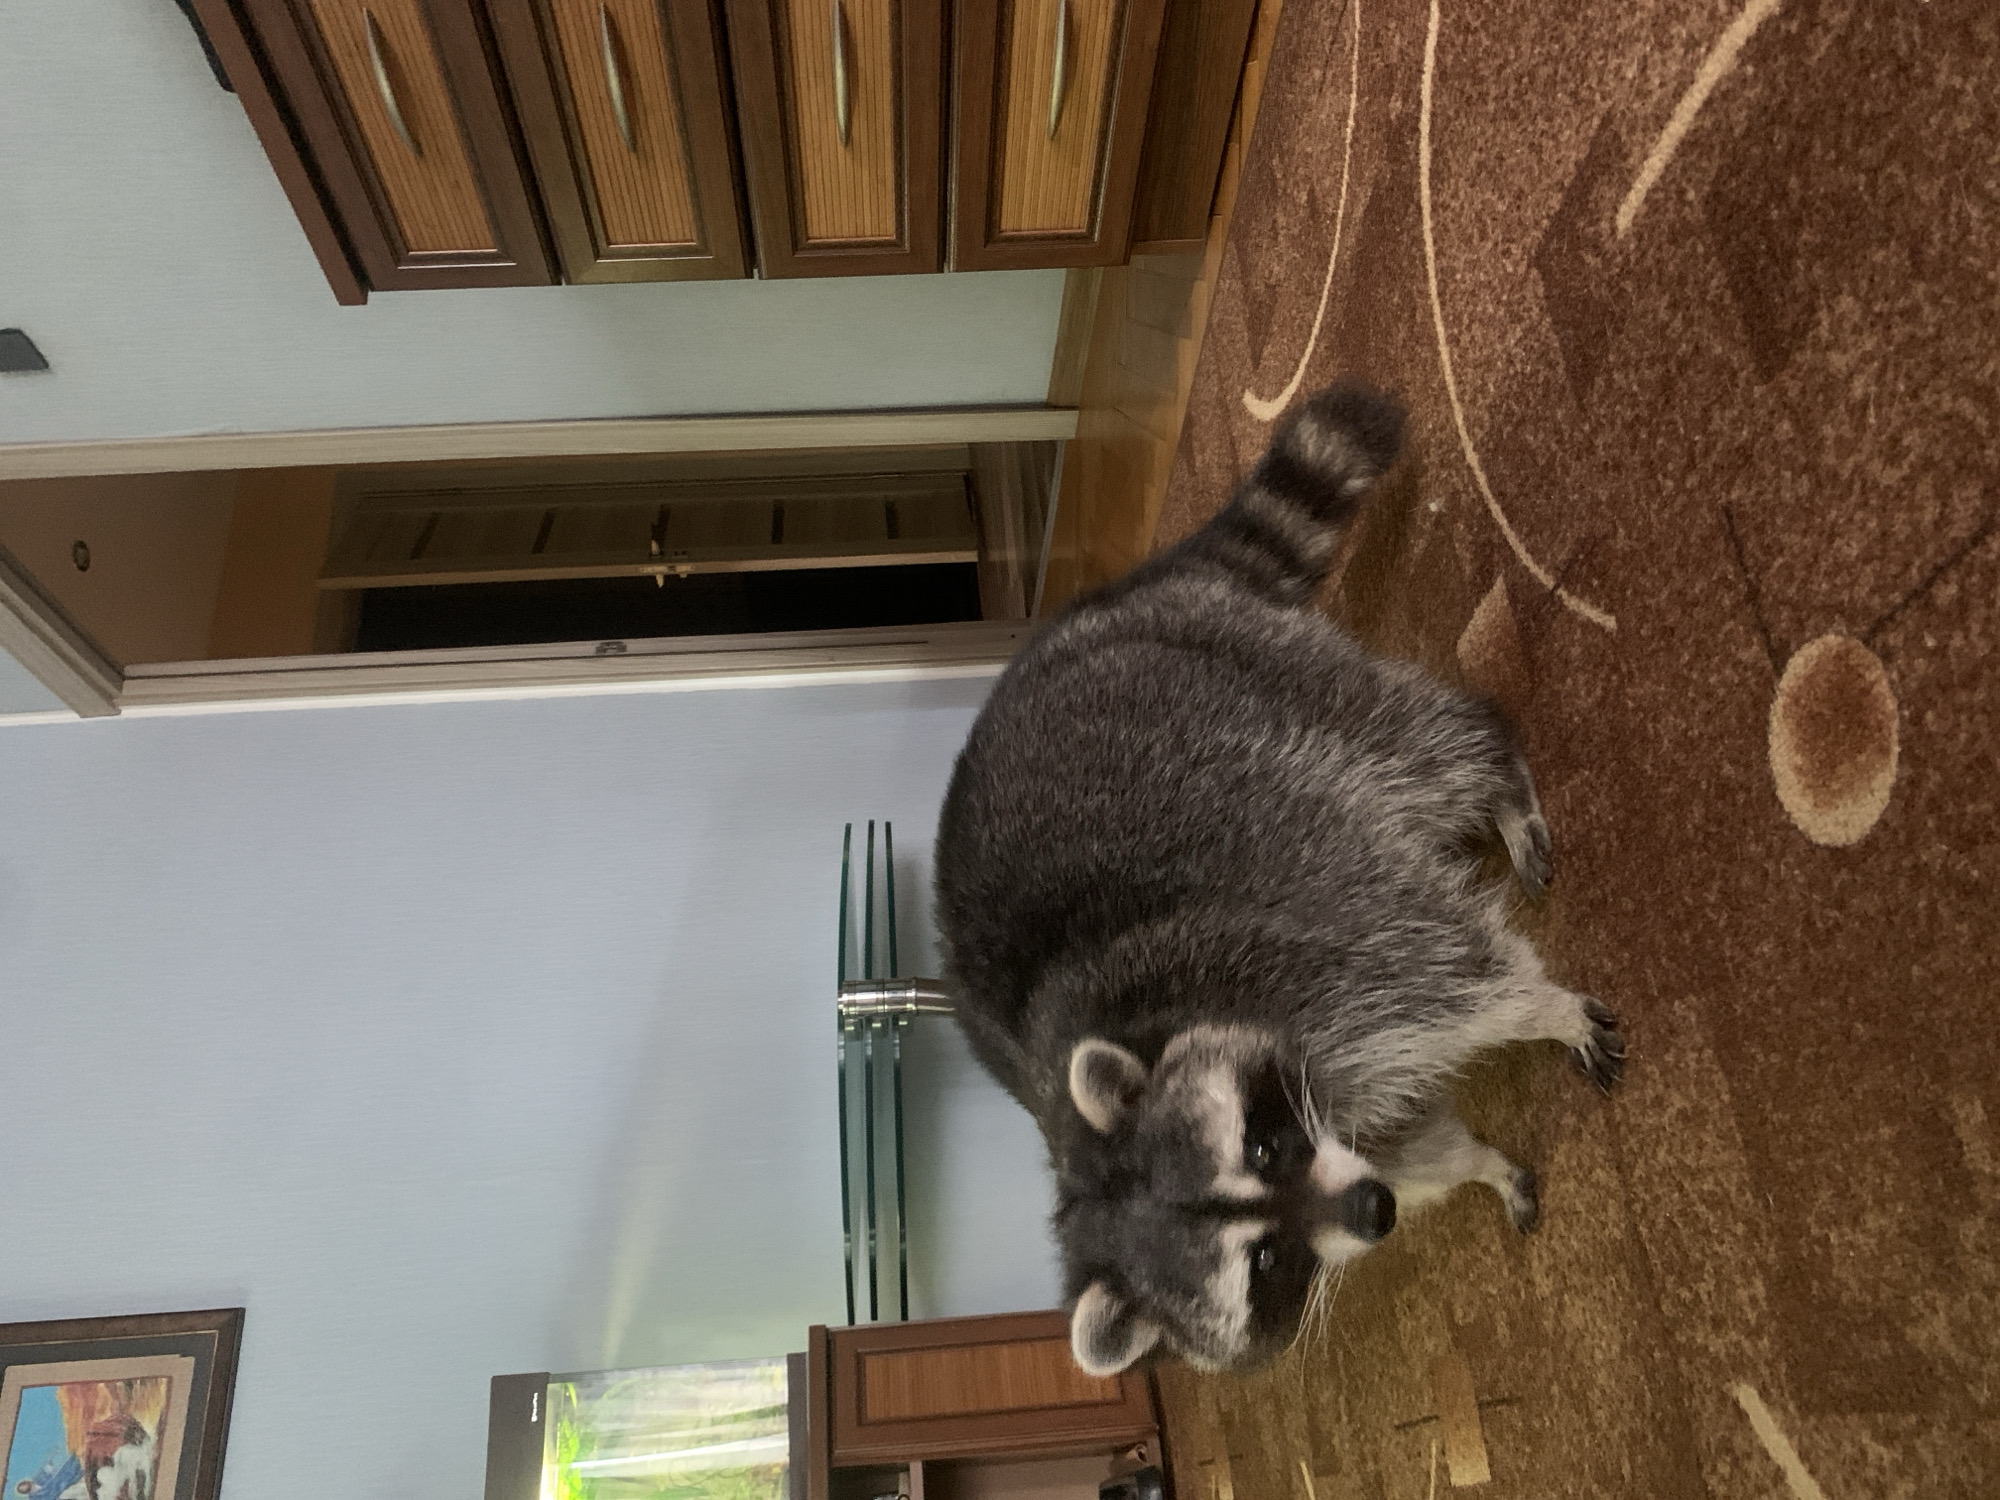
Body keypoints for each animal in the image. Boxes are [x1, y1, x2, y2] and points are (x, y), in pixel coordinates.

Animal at [933, 382, 1625, 1376]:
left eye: (1260, 1149)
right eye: (1264, 1266)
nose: (1370, 1212)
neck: (1151, 1033)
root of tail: (1109, 605)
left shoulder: (1298, 945)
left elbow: (1451, 967)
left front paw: (1542, 1010)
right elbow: (1409, 1143)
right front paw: (1471, 1167)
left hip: (1245, 688)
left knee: (1416, 747)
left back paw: (1498, 778)